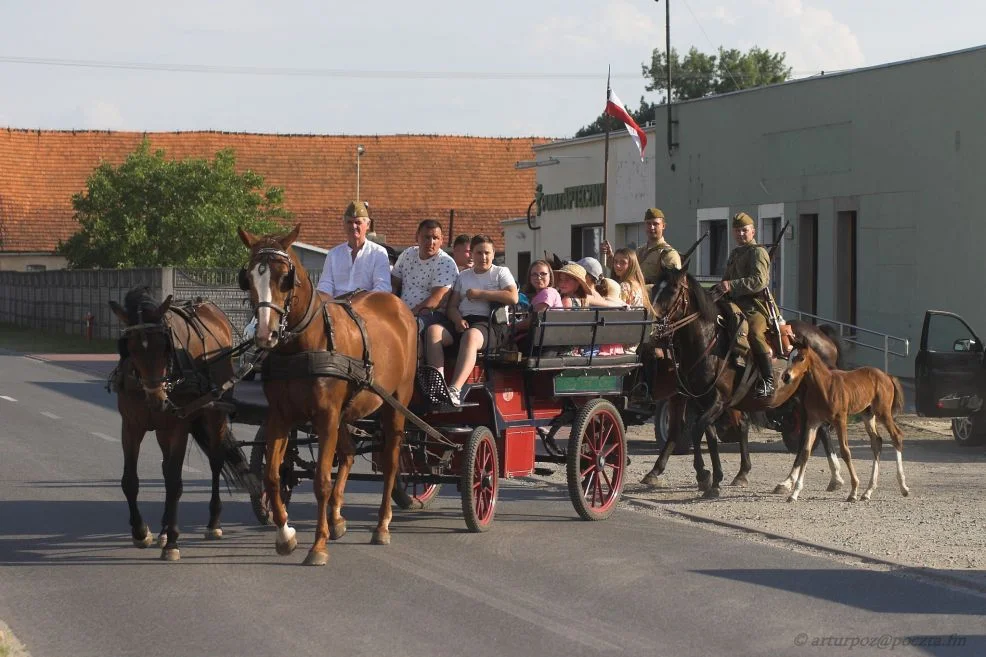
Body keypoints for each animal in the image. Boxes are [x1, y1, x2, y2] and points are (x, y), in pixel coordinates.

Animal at [108, 288, 254, 560]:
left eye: (165, 347)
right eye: (130, 348)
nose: (157, 399)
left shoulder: (180, 426)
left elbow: (175, 483)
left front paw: (173, 541)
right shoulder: (131, 426)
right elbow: (130, 480)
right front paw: (141, 532)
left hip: (215, 414)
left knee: (215, 462)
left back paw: (212, 524)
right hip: (163, 428)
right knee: (166, 467)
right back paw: (164, 529)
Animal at [237, 224, 416, 564]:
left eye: (285, 277)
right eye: (249, 277)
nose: (265, 334)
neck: (304, 345)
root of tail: (399, 306)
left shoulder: (326, 416)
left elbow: (321, 480)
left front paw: (317, 546)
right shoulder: (281, 415)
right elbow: (272, 475)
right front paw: (286, 535)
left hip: (395, 405)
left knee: (391, 462)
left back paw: (382, 525)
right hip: (346, 414)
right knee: (348, 454)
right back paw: (337, 518)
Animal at [640, 270, 840, 494]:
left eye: (673, 290)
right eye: (655, 289)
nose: (651, 323)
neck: (710, 345)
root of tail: (823, 336)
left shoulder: (716, 401)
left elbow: (695, 429)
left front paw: (704, 475)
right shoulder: (702, 402)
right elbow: (707, 434)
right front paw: (713, 477)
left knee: (816, 430)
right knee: (813, 430)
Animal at [776, 338, 908, 502]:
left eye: (801, 358)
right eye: (789, 357)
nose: (786, 377)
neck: (824, 387)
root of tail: (887, 376)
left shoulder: (841, 420)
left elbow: (845, 451)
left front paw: (853, 491)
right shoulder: (813, 421)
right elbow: (805, 453)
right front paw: (794, 493)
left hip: (883, 412)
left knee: (896, 436)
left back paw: (903, 487)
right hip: (868, 415)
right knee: (877, 442)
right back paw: (868, 491)